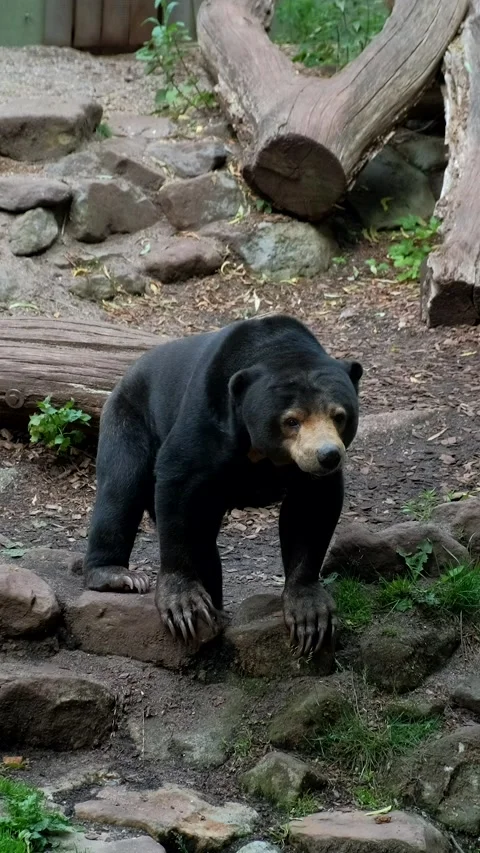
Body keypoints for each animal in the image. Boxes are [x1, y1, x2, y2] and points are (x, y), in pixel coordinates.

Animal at [83, 314, 362, 657]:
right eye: (291, 420)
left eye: (339, 416)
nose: (328, 456)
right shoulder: (208, 417)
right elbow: (178, 481)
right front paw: (184, 606)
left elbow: (312, 509)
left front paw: (310, 615)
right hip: (129, 418)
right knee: (121, 488)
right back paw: (118, 575)